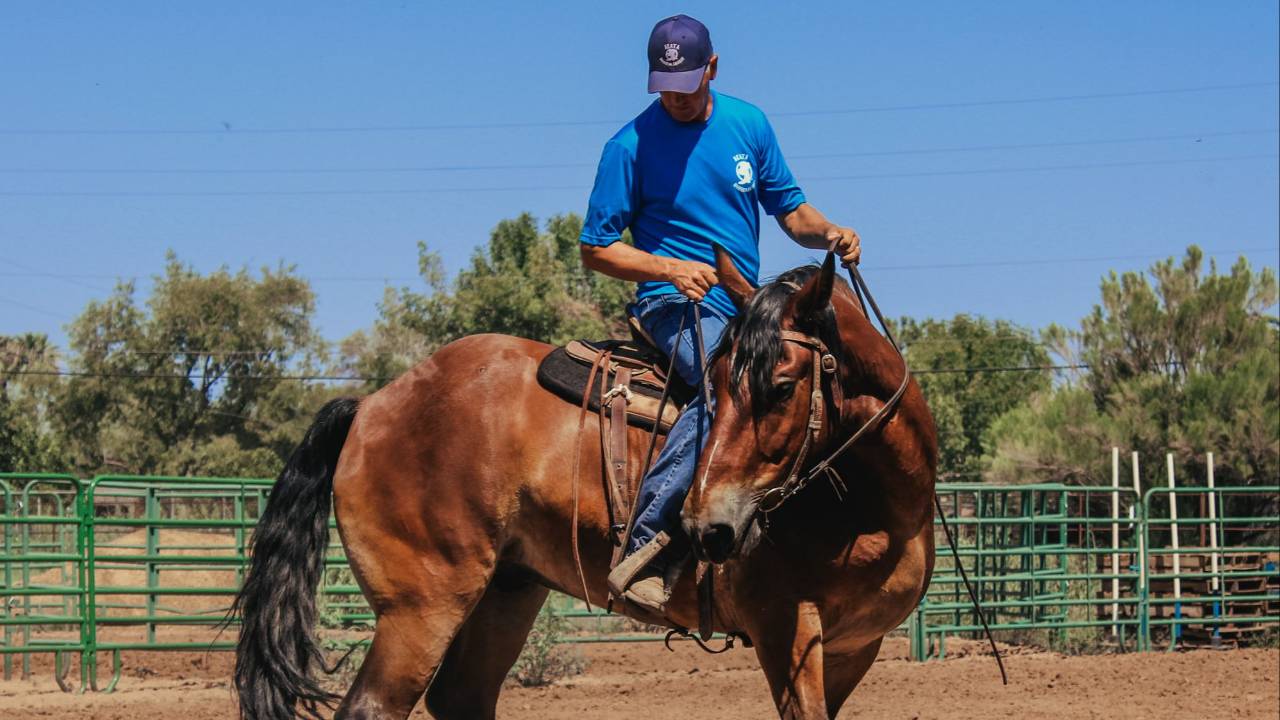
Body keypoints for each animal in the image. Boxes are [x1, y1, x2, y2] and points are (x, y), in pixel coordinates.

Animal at [231, 249, 937, 720]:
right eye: (713, 386)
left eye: (782, 387)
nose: (708, 528)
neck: (876, 510)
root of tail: (372, 405)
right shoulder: (784, 630)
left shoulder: (854, 649)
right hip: (420, 608)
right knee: (376, 707)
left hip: (507, 592)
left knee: (462, 698)